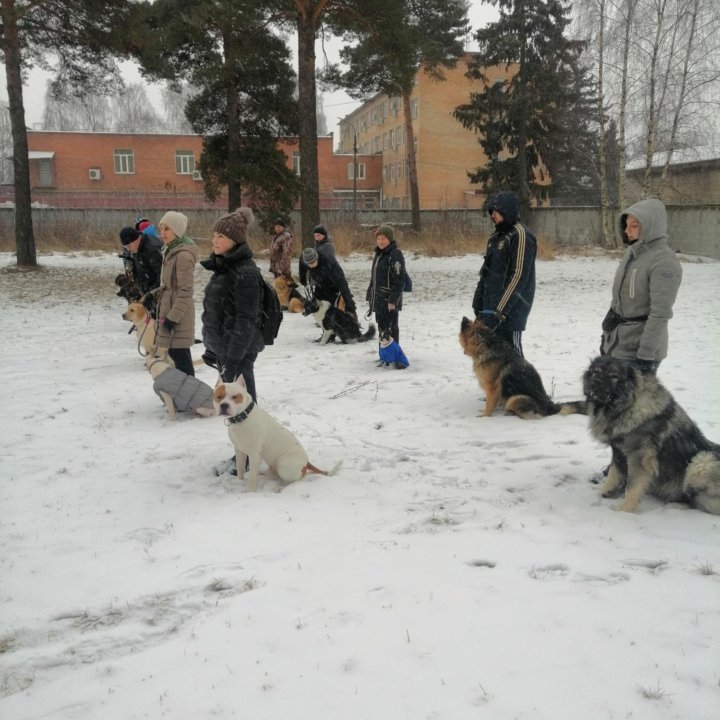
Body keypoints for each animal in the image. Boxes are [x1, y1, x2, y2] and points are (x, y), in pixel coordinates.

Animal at [212, 376, 342, 490]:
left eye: (235, 397)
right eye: (219, 397)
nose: (224, 405)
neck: (241, 419)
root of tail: (306, 464)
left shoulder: (254, 453)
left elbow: (252, 477)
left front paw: (249, 491)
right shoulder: (240, 451)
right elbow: (240, 468)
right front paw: (239, 481)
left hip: (284, 465)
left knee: (294, 481)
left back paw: (279, 487)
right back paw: (263, 472)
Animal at [584, 354, 720, 512]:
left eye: (613, 376)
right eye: (596, 372)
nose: (595, 382)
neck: (627, 407)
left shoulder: (639, 456)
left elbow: (631, 486)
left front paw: (625, 510)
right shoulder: (618, 451)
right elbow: (614, 472)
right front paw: (607, 490)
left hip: (702, 461)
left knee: (698, 500)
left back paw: (676, 505)